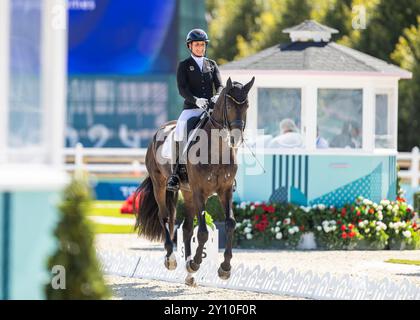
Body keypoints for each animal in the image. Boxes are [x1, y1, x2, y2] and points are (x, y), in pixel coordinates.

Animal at [133, 77, 254, 284]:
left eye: (246, 105)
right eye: (229, 105)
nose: (236, 138)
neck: (216, 149)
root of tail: (159, 131)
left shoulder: (225, 190)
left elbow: (230, 223)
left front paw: (224, 268)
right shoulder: (199, 191)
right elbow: (203, 232)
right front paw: (196, 262)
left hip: (187, 192)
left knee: (187, 228)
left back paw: (189, 273)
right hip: (160, 185)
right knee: (165, 217)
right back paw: (171, 259)